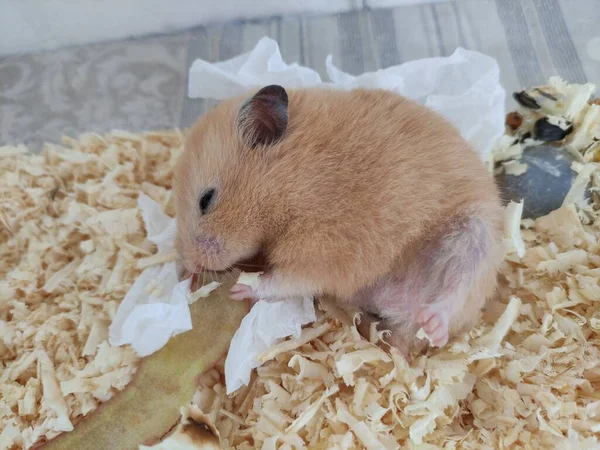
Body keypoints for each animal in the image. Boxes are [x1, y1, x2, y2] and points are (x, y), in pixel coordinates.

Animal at [172, 84, 502, 356]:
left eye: (206, 200)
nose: (189, 266)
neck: (293, 177)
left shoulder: (322, 250)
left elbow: (285, 281)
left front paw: (241, 289)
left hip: (473, 236)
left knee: (455, 291)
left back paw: (433, 322)